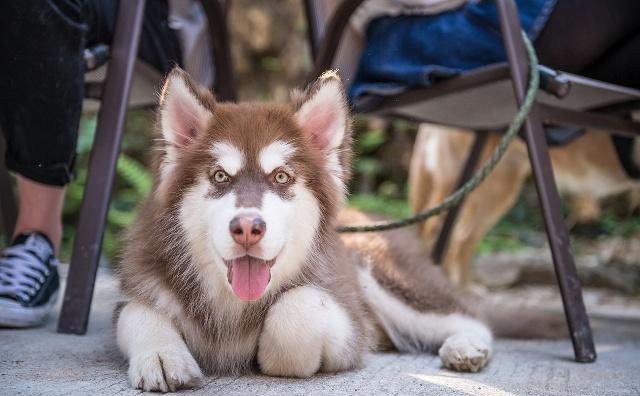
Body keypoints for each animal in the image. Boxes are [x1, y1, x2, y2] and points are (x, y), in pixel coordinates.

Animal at [115, 69, 564, 392]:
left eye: (281, 177)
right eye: (220, 176)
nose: (247, 229)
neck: (232, 303)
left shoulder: (348, 319)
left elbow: (295, 311)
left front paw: (268, 351)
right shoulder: (140, 282)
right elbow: (136, 312)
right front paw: (162, 354)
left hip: (382, 272)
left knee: (468, 316)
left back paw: (465, 346)